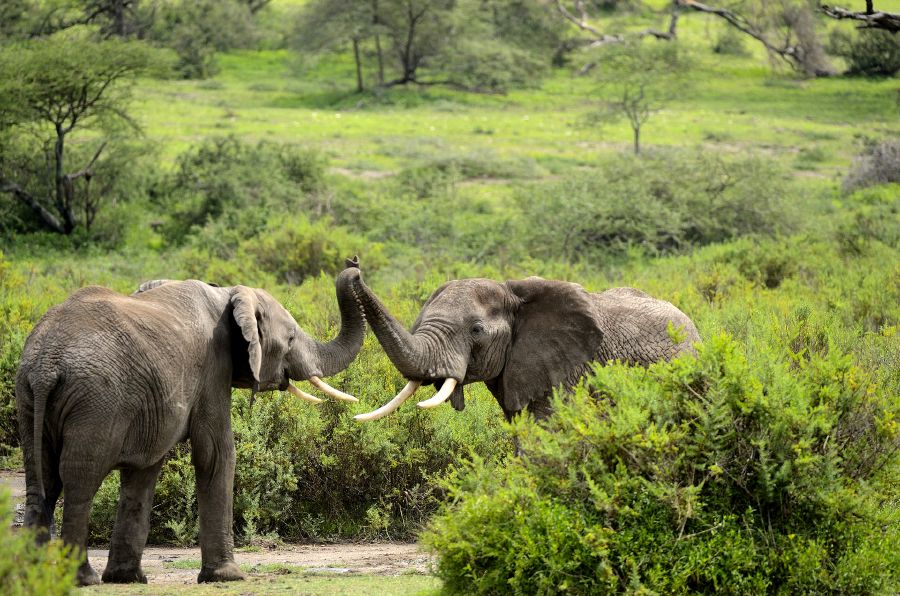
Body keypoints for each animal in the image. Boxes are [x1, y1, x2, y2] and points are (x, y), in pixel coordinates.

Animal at [15, 260, 366, 588]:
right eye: (291, 337)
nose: (355, 266)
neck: (228, 294)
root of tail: (46, 365)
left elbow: (144, 471)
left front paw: (127, 578)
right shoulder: (214, 366)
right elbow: (216, 453)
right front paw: (227, 576)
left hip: (29, 398)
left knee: (41, 479)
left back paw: (33, 575)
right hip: (96, 401)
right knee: (79, 481)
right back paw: (83, 578)